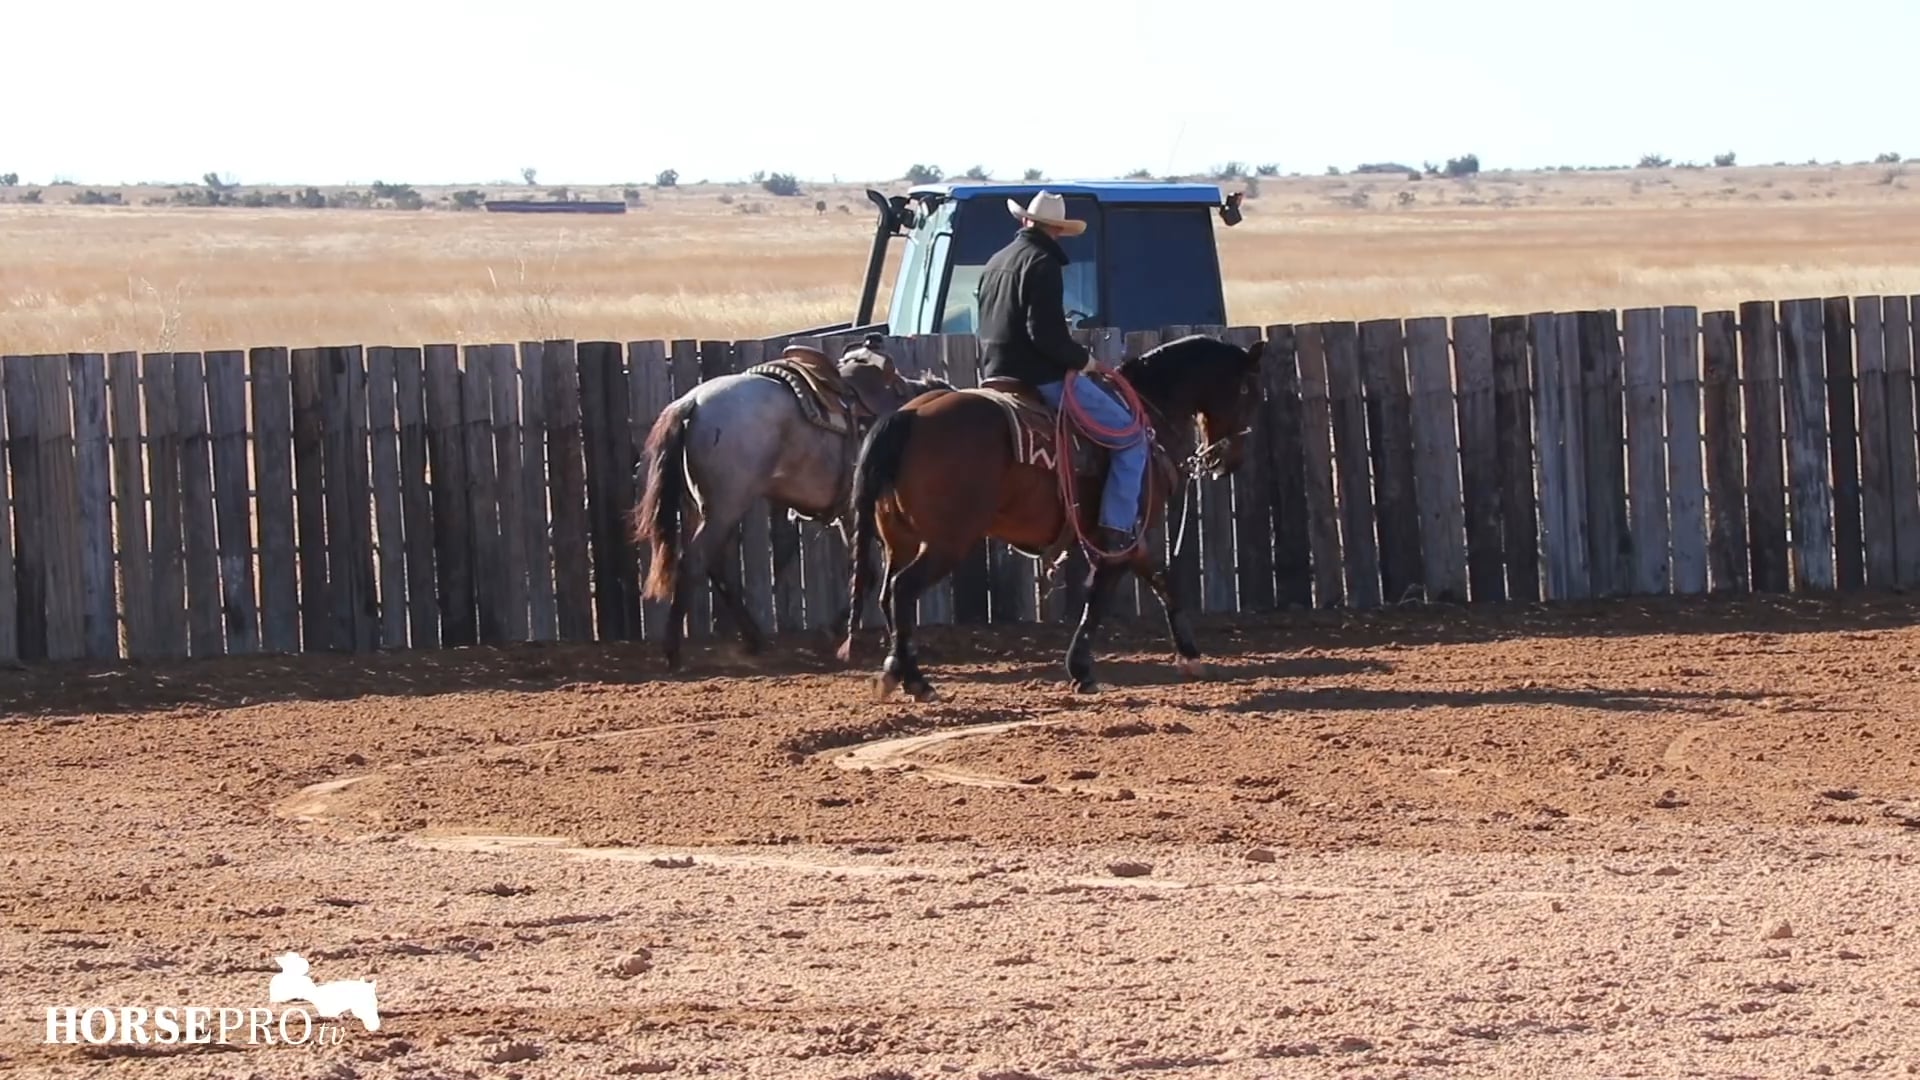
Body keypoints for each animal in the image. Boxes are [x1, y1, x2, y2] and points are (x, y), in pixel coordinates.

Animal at [630, 336, 951, 671]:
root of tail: (692, 402)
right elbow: (874, 573)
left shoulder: (850, 514)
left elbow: (869, 572)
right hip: (725, 508)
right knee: (694, 563)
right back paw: (673, 651)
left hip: (704, 509)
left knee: (714, 565)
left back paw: (753, 638)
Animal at [838, 333, 1268, 700]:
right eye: (1250, 391)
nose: (1230, 460)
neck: (1147, 409)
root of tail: (909, 416)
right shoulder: (1121, 538)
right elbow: (1099, 596)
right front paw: (1081, 670)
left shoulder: (1131, 540)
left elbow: (1165, 582)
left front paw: (1191, 656)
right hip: (947, 543)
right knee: (903, 590)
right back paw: (915, 680)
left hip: (901, 541)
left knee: (888, 594)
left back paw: (898, 670)